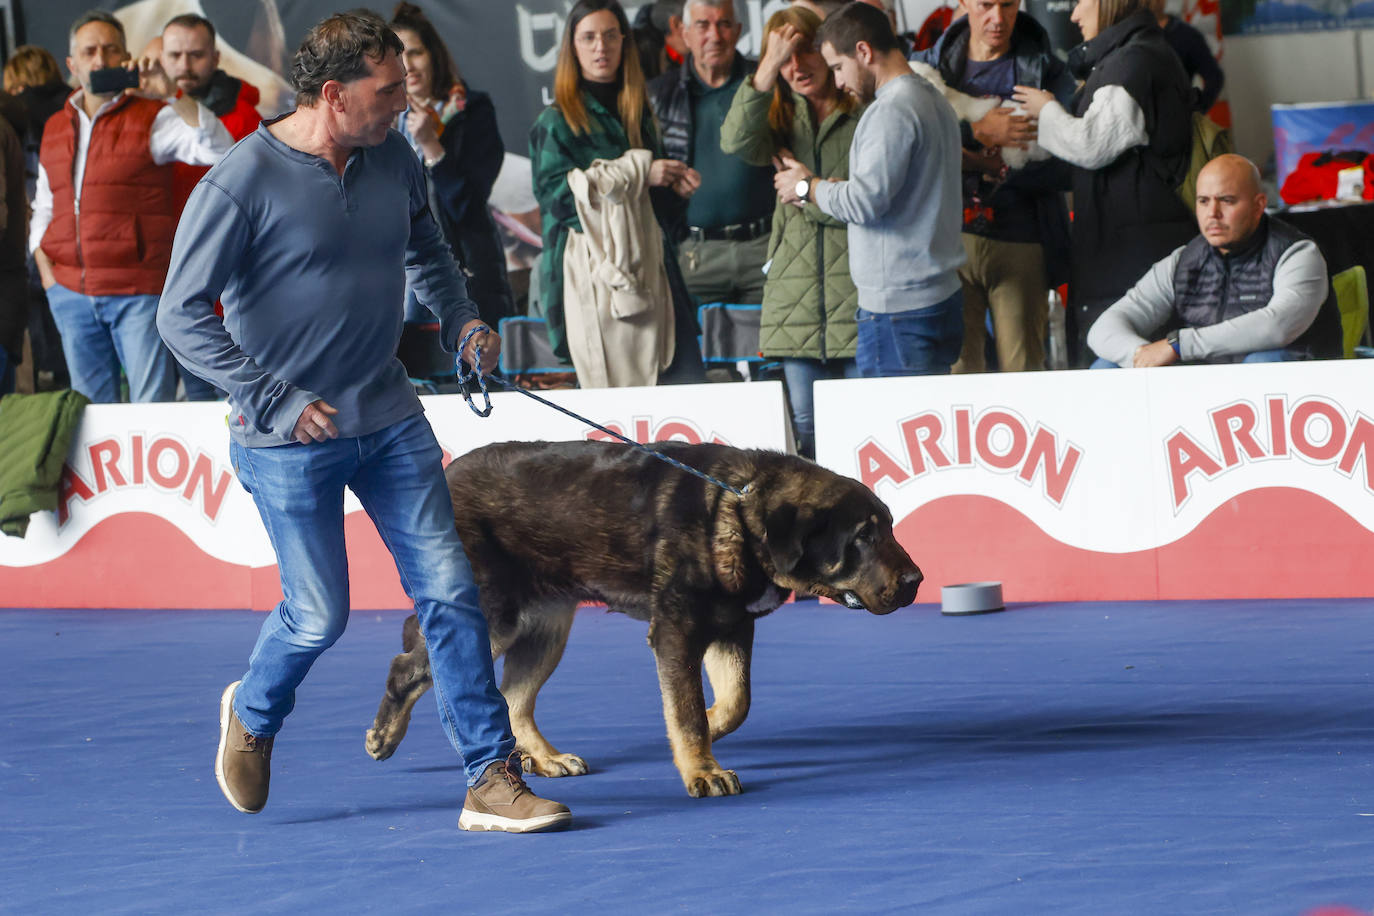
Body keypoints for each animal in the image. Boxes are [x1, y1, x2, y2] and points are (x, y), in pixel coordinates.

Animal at [365, 439, 923, 796]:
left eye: (890, 528)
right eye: (863, 537)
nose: (917, 580)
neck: (737, 514)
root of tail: (444, 476)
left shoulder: (732, 626)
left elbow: (733, 702)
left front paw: (709, 728)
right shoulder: (677, 629)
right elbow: (688, 710)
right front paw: (702, 768)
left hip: (546, 628)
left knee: (514, 698)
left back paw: (542, 757)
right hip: (491, 615)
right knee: (407, 664)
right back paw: (384, 735)